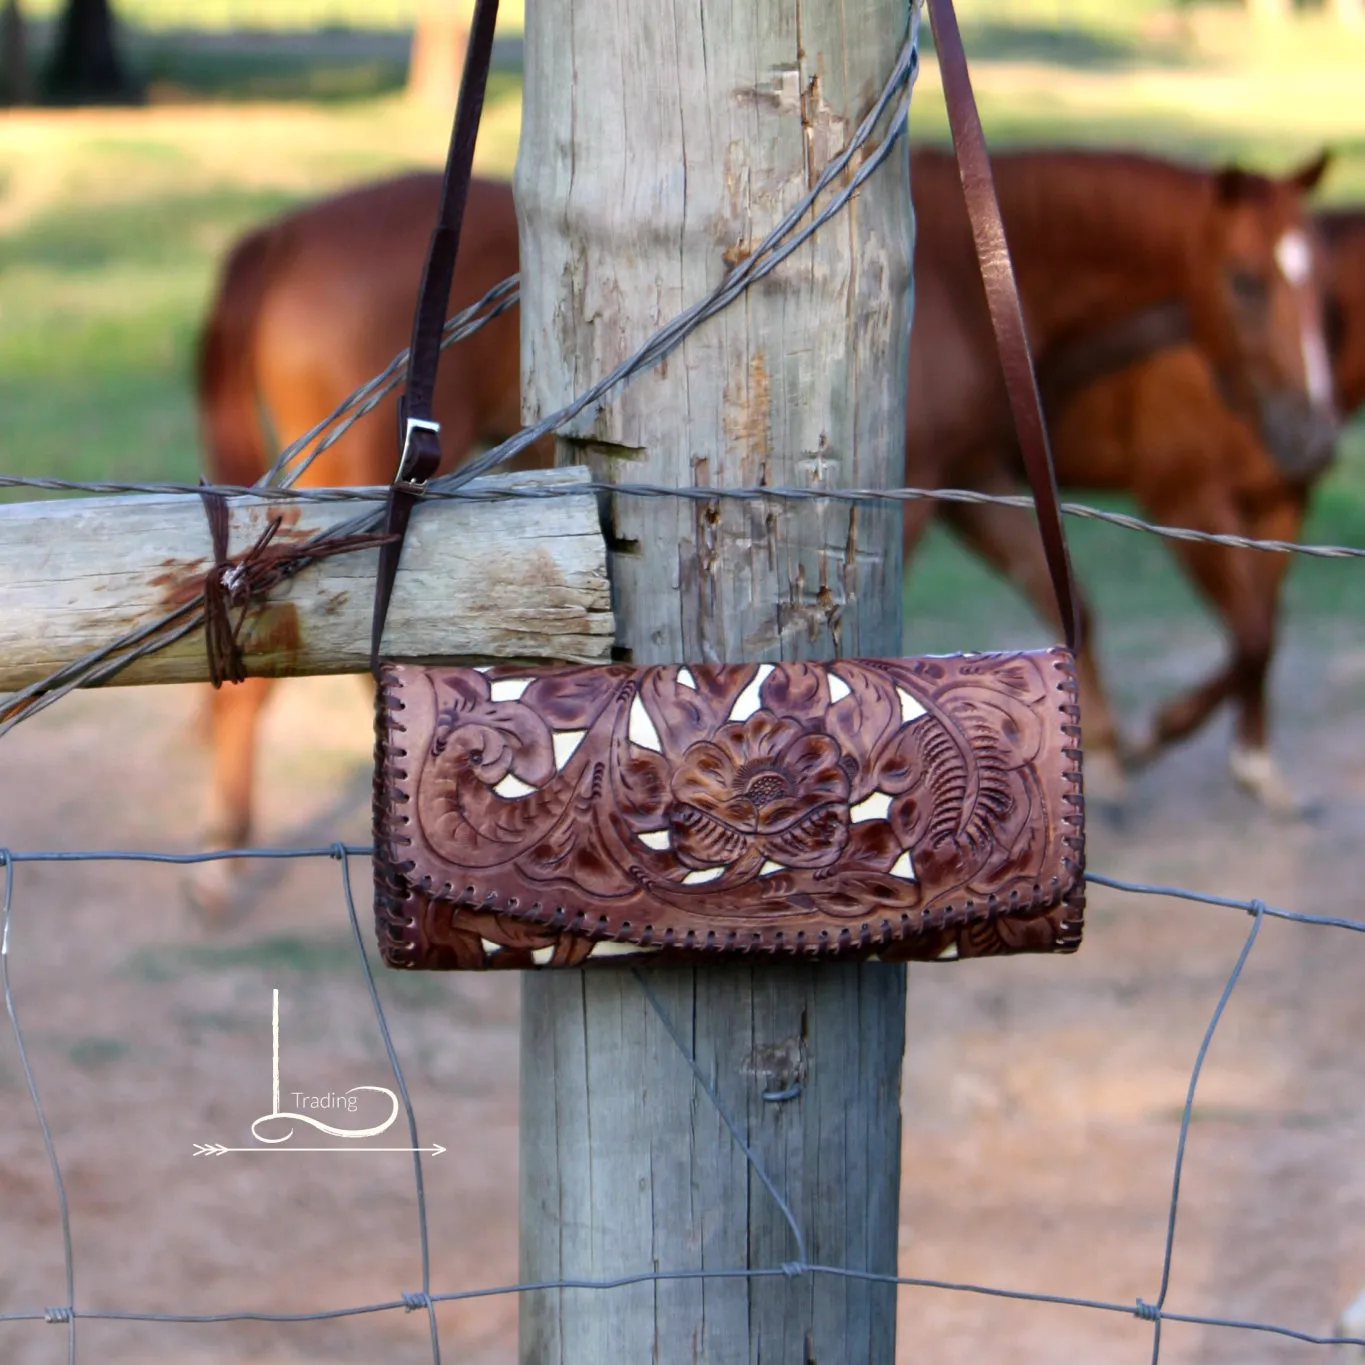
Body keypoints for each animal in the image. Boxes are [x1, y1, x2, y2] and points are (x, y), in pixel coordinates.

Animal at [189, 152, 1332, 906]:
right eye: (1246, 282)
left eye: (1320, 287)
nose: (1311, 435)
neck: (965, 280)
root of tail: (277, 238)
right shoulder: (919, 496)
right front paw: (1168, 744)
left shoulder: (976, 479)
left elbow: (1078, 604)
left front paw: (1131, 750)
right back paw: (223, 858)